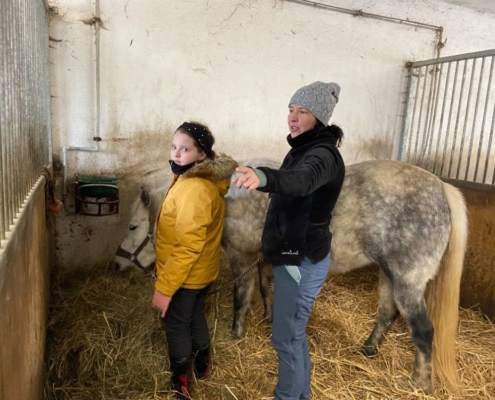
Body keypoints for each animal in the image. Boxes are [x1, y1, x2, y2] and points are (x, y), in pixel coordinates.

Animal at [115, 159, 468, 394]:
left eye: (133, 227)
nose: (117, 264)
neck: (226, 198)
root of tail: (441, 187)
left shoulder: (242, 255)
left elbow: (241, 296)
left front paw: (237, 332)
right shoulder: (264, 258)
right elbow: (265, 288)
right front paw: (269, 317)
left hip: (407, 281)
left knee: (423, 332)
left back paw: (418, 384)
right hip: (388, 274)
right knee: (386, 313)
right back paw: (368, 349)